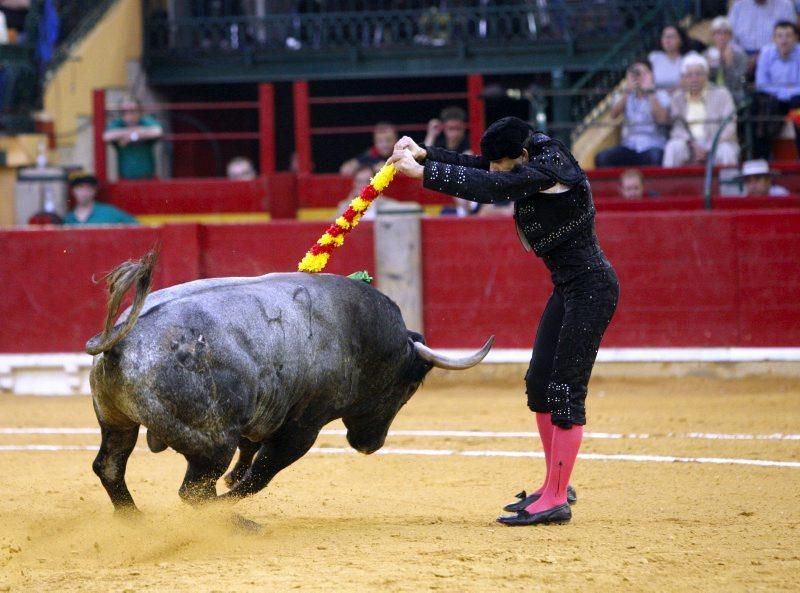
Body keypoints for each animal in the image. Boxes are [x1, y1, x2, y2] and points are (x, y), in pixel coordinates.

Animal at [86, 250, 488, 520]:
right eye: (410, 387)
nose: (370, 445)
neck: (357, 329)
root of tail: (120, 340)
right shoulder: (303, 426)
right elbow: (262, 473)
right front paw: (232, 496)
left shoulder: (264, 410)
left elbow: (250, 454)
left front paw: (233, 482)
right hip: (212, 442)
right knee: (194, 491)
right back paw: (235, 522)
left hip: (116, 421)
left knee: (110, 467)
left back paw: (135, 520)